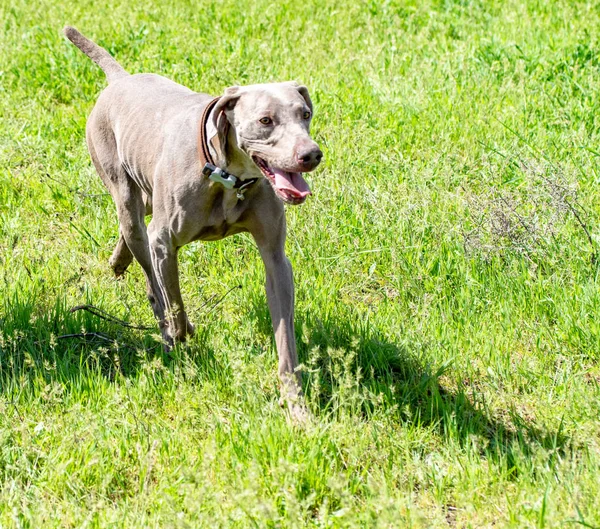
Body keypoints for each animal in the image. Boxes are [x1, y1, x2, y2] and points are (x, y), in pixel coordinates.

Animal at [63, 26, 322, 414]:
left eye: (304, 114)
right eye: (265, 121)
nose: (311, 154)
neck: (230, 179)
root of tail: (120, 80)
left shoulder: (276, 258)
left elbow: (285, 338)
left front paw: (296, 405)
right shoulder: (163, 241)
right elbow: (176, 307)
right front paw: (180, 334)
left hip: (144, 195)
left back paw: (118, 261)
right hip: (124, 192)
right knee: (148, 266)